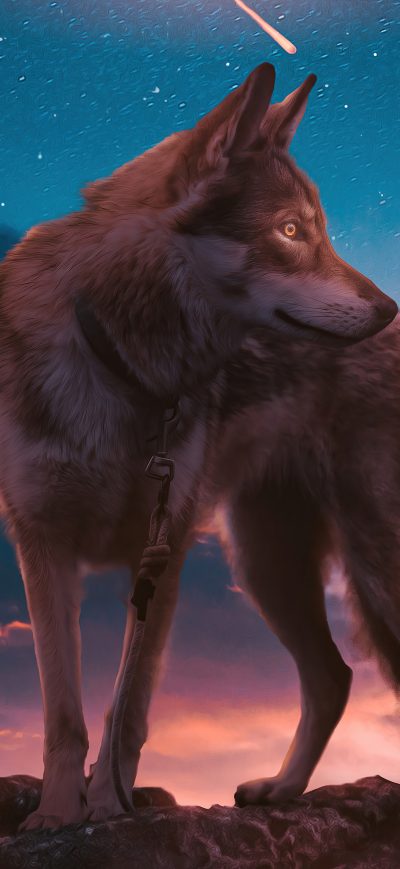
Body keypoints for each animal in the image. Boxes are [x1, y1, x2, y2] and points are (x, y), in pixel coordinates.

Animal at [0, 62, 396, 830]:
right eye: (291, 230)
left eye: (322, 232)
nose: (389, 308)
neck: (119, 365)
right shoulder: (45, 544)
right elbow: (65, 713)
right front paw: (57, 817)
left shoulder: (167, 550)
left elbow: (127, 715)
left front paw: (113, 809)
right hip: (267, 561)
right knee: (333, 677)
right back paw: (283, 789)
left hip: (357, 559)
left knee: (339, 674)